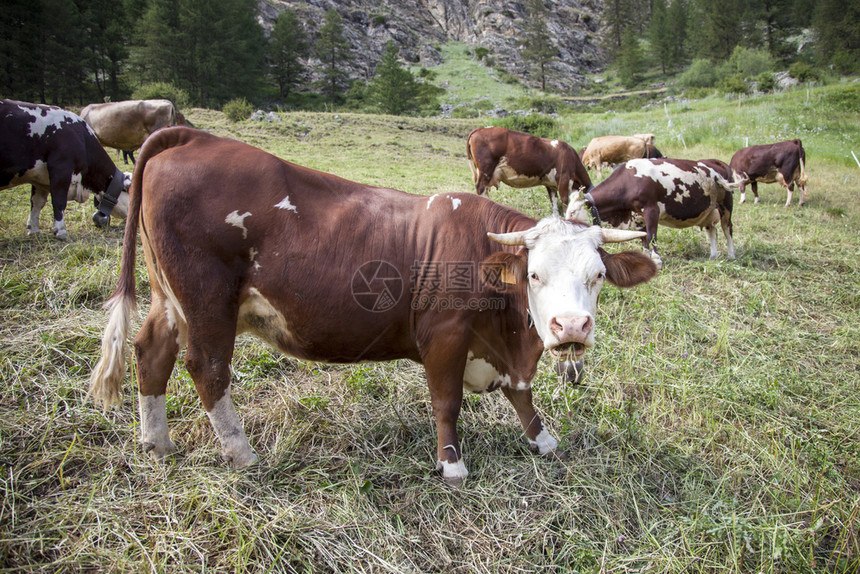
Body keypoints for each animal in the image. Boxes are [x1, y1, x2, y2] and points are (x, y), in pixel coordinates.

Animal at [0, 99, 130, 238]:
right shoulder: (61, 169)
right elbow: (59, 201)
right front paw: (61, 231)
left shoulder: (39, 180)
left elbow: (37, 202)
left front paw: (34, 230)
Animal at [464, 126, 592, 216]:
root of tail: (481, 128)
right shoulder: (564, 179)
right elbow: (565, 202)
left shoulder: (551, 184)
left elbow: (554, 203)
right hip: (486, 170)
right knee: (481, 189)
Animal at [564, 158, 740, 270]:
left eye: (572, 212)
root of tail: (717, 162)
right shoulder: (638, 216)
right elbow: (643, 238)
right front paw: (646, 257)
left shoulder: (651, 210)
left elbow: (651, 236)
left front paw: (656, 260)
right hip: (710, 211)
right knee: (712, 231)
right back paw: (713, 256)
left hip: (726, 204)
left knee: (727, 228)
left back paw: (731, 255)